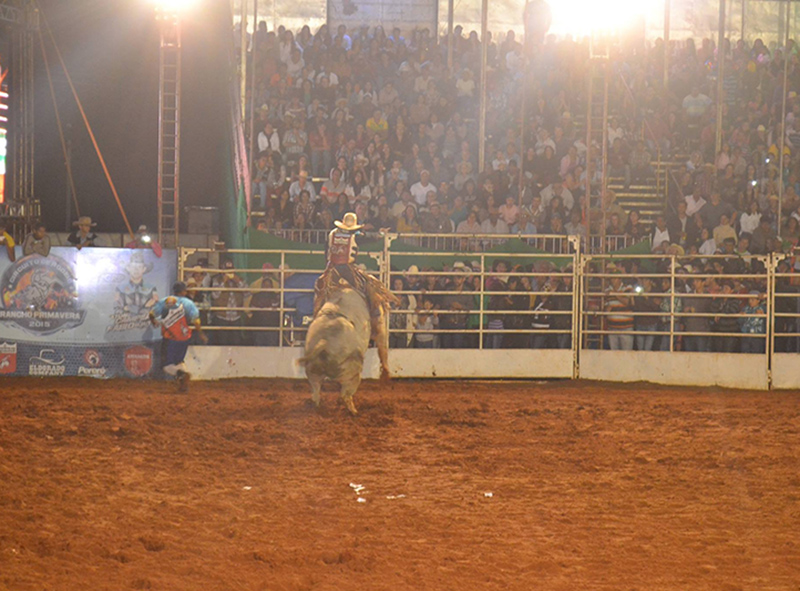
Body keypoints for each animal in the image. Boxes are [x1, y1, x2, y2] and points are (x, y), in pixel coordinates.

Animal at [300, 286, 388, 416]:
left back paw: (317, 406)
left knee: (316, 389)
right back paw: (353, 411)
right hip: (353, 372)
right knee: (345, 394)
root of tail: (324, 342)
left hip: (313, 370)